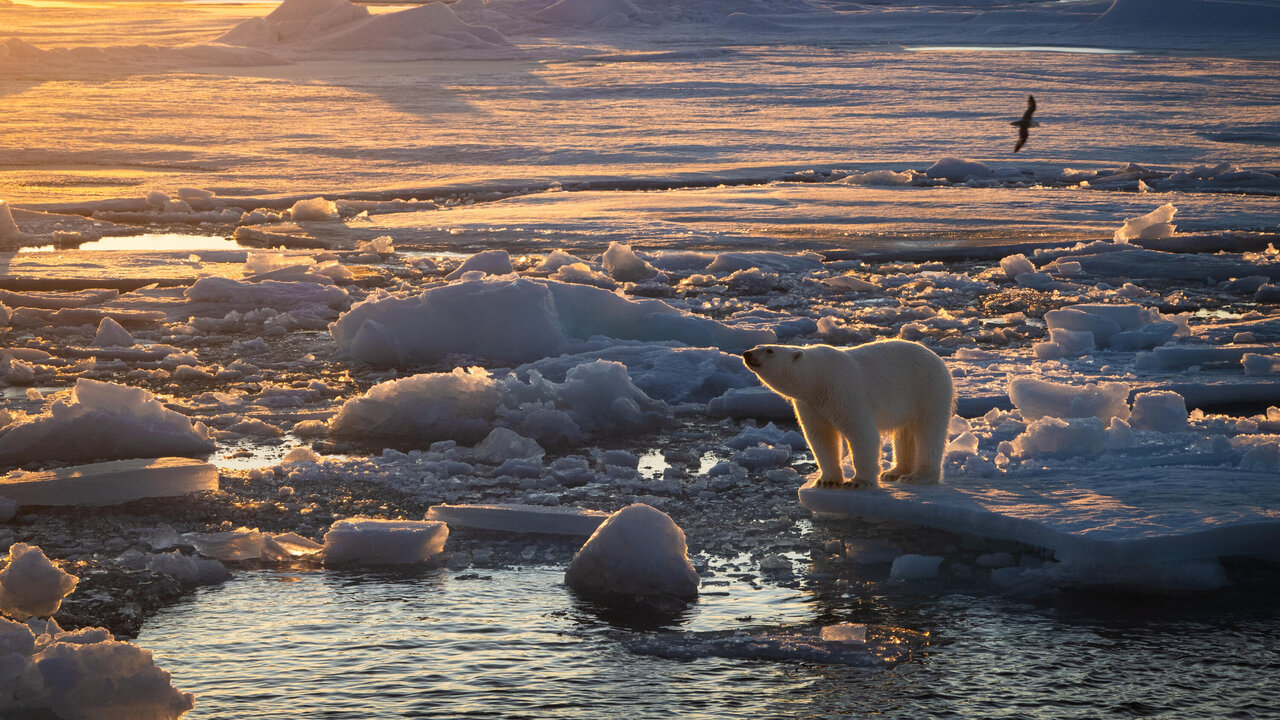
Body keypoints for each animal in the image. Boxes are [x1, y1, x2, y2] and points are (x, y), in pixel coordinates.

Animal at [742, 340, 954, 489]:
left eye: (769, 350)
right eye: (757, 346)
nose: (747, 353)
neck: (820, 378)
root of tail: (938, 359)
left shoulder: (845, 391)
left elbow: (861, 432)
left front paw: (858, 481)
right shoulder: (810, 405)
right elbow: (821, 437)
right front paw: (827, 481)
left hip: (928, 389)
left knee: (928, 432)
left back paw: (918, 476)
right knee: (904, 434)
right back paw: (894, 472)